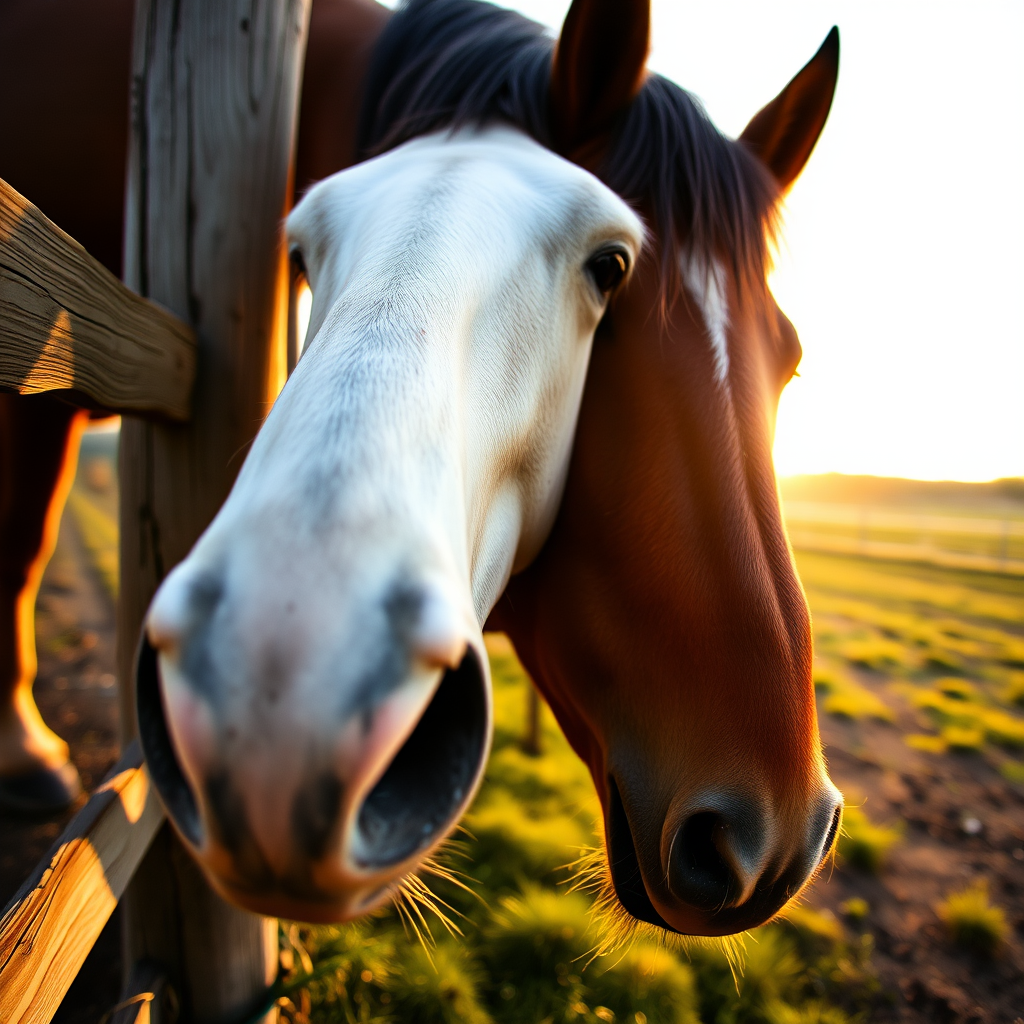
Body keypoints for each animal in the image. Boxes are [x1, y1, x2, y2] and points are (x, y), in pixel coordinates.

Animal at [0, 0, 843, 937]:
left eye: (793, 363)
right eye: (300, 253)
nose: (773, 826)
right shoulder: (40, 389)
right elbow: (22, 548)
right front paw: (27, 757)